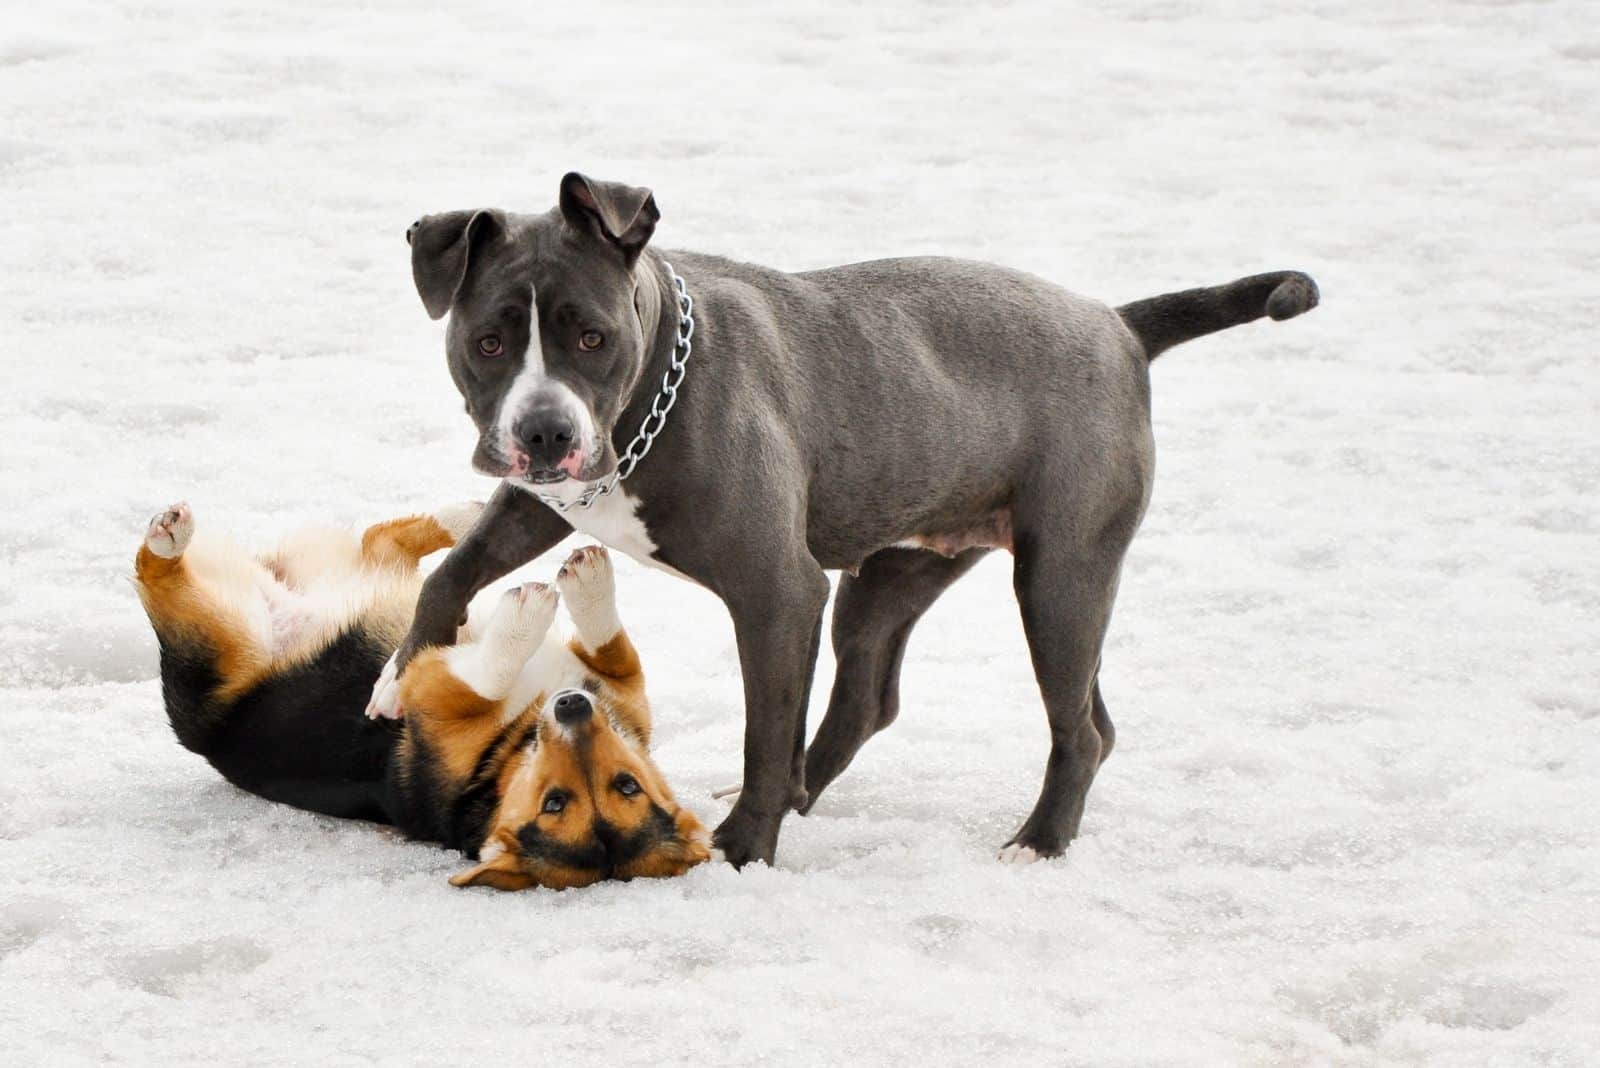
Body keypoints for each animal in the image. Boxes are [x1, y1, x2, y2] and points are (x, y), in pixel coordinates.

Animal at [134, 505, 710, 888]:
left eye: (626, 787)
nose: (573, 707)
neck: (506, 755)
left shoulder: (431, 689)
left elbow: (491, 672)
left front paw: (537, 606)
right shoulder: (615, 686)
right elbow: (611, 647)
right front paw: (582, 581)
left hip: (223, 632)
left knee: (158, 581)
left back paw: (167, 539)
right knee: (383, 542)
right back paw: (463, 516)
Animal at [368, 173, 1318, 869]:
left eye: (593, 337)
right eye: (489, 342)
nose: (544, 432)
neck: (658, 388)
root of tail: (1118, 325)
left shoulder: (777, 591)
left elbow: (763, 727)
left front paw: (744, 851)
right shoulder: (545, 501)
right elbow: (453, 571)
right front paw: (396, 681)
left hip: (1062, 575)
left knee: (1075, 727)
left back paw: (1037, 843)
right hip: (893, 577)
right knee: (873, 699)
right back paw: (813, 794)